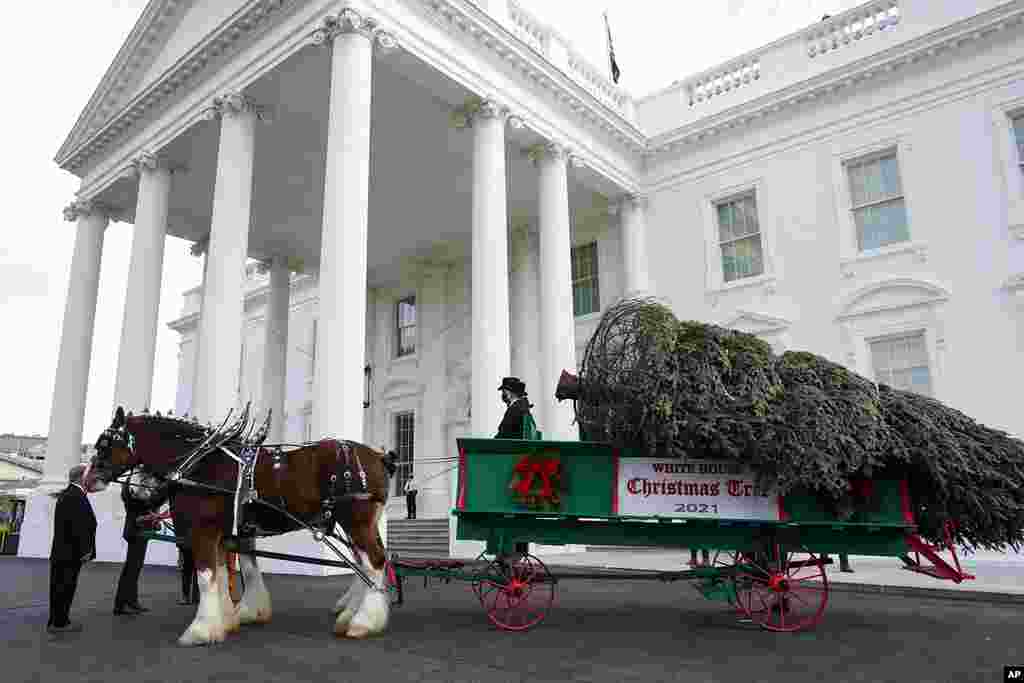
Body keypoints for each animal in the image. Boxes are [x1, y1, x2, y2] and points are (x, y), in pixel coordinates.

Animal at [91, 405, 391, 647]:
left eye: (104, 443)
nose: (86, 477)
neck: (199, 464)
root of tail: (379, 456)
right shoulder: (225, 535)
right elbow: (227, 574)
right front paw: (228, 620)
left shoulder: (203, 532)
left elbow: (207, 576)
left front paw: (200, 630)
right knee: (366, 564)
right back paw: (353, 613)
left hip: (355, 520)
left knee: (374, 562)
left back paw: (363, 622)